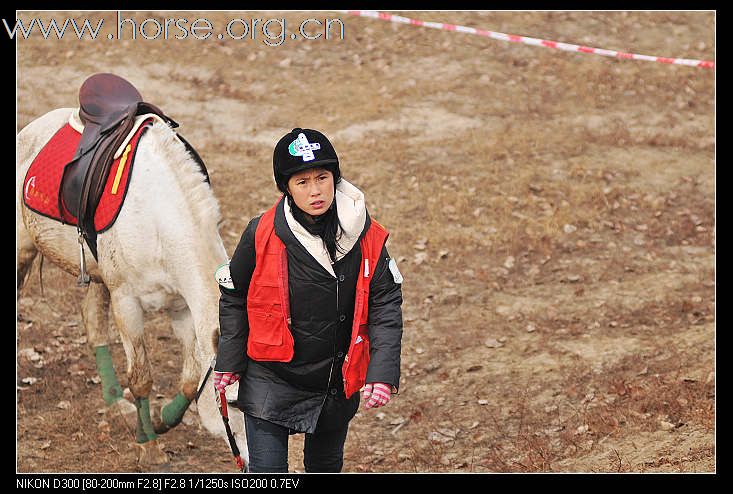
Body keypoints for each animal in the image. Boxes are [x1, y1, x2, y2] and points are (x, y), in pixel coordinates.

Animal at [16, 108, 246, 470]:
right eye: (234, 404)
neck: (159, 218)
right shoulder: (127, 303)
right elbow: (140, 377)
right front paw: (149, 448)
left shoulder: (182, 306)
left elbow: (190, 380)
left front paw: (162, 419)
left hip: (98, 276)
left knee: (92, 321)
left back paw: (115, 404)